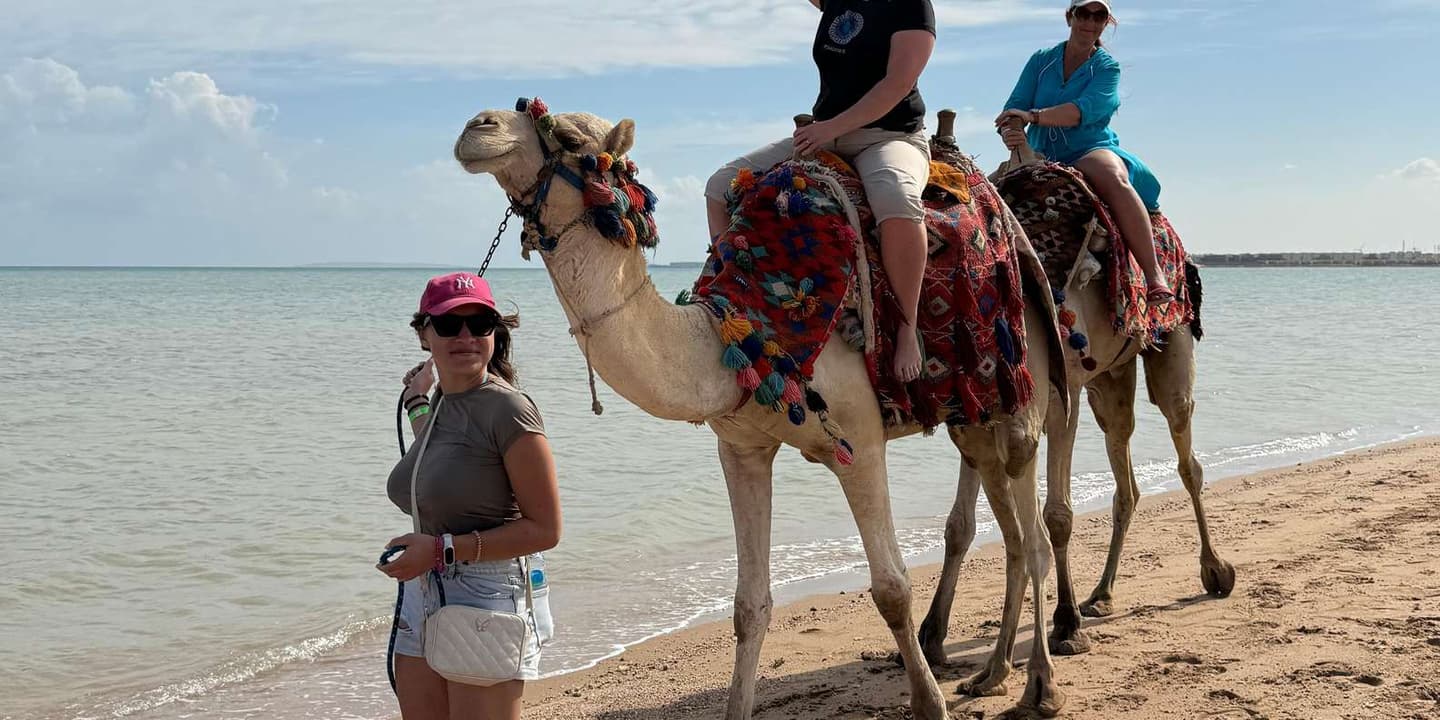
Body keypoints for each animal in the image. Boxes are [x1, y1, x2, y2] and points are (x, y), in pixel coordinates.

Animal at [453, 102, 1071, 718]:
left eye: (566, 135)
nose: (476, 126)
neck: (748, 329)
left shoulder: (861, 443)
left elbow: (892, 588)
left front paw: (929, 704)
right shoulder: (742, 449)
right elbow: (749, 605)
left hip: (1023, 379)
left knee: (1034, 521)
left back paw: (1040, 682)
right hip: (974, 410)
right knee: (1011, 525)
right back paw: (993, 673)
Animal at [918, 138, 1237, 664]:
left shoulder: (1056, 398)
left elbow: (1058, 515)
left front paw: (1065, 624)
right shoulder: (981, 410)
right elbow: (958, 525)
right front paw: (931, 634)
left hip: (1171, 348)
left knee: (1186, 455)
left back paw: (1215, 571)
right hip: (1111, 378)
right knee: (1125, 472)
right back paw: (1102, 594)